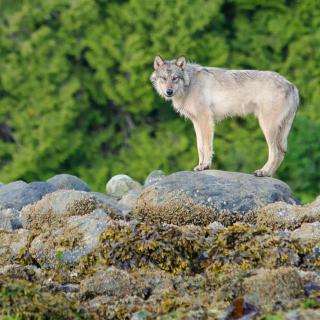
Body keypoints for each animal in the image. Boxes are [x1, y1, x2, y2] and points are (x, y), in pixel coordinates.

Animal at [151, 54, 300, 175]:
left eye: (175, 78)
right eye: (164, 78)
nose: (169, 92)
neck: (190, 83)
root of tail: (292, 85)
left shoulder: (206, 120)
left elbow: (207, 146)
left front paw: (205, 166)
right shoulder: (196, 122)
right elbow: (200, 146)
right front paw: (200, 165)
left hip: (267, 127)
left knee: (275, 153)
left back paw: (263, 172)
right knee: (282, 152)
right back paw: (268, 174)